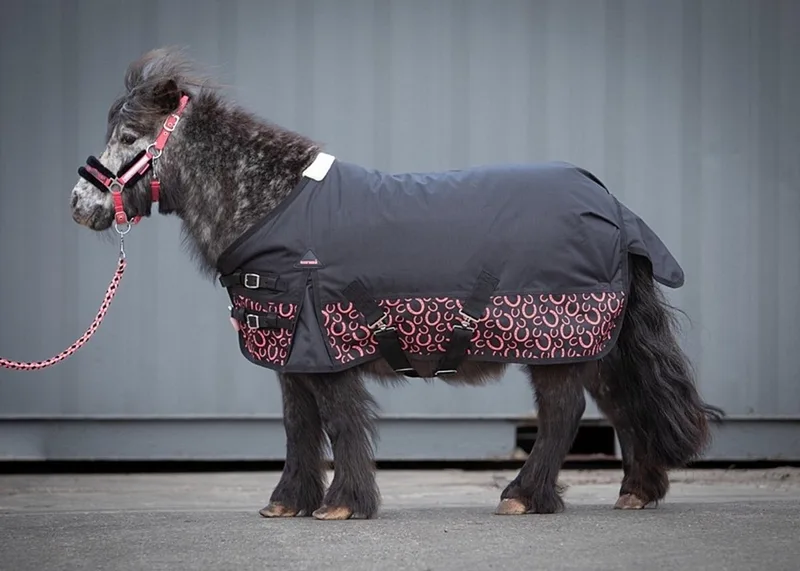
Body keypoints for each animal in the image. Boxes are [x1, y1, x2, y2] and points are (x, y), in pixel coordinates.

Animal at [69, 47, 723, 520]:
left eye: (128, 138)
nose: (79, 204)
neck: (273, 206)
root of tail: (610, 203)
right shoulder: (291, 354)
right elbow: (298, 426)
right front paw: (288, 501)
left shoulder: (326, 347)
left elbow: (338, 422)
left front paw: (342, 505)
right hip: (594, 345)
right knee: (623, 405)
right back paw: (636, 490)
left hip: (558, 344)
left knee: (565, 413)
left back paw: (523, 495)